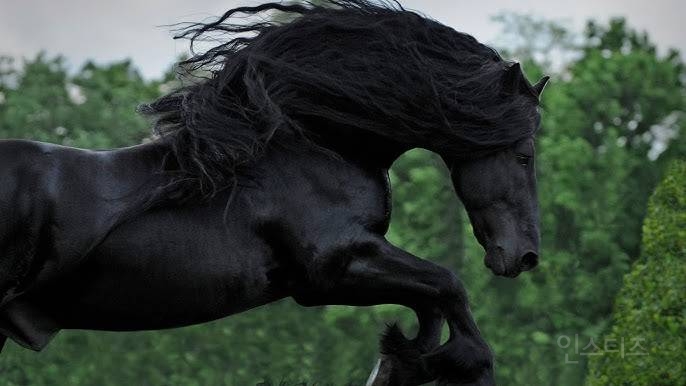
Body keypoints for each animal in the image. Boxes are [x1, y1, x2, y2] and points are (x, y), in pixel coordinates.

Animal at [0, 1, 548, 384]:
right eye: (524, 154)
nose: (524, 256)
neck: (316, 147)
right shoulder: (332, 270)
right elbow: (453, 297)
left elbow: (430, 314)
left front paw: (403, 360)